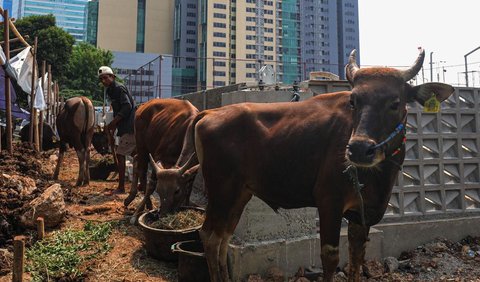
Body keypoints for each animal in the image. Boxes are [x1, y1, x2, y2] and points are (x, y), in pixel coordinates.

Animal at [152, 49, 456, 282]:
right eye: (353, 100)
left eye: (395, 102)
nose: (359, 149)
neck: (376, 177)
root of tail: (209, 112)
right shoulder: (330, 202)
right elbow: (330, 258)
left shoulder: (363, 215)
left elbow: (357, 257)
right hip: (221, 190)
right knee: (209, 236)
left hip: (240, 194)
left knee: (223, 237)